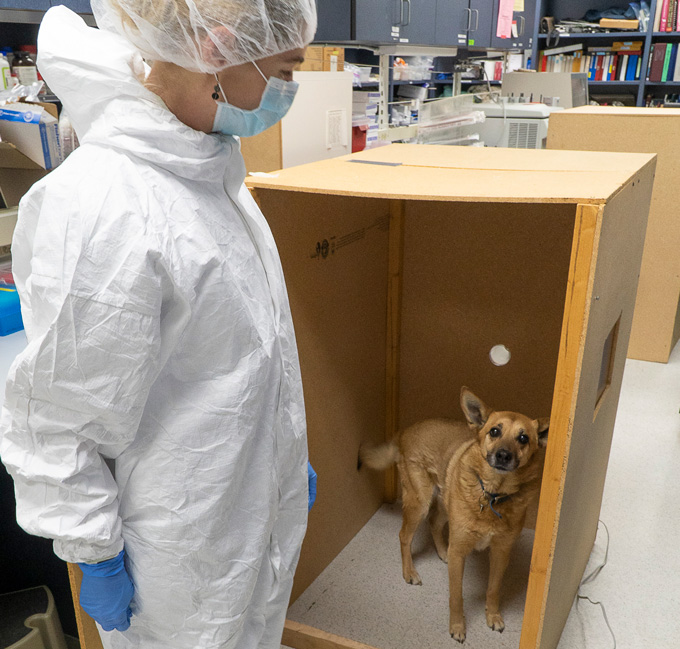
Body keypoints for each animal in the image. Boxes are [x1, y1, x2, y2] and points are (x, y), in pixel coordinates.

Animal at [362, 388, 548, 640]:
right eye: (495, 431)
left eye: (523, 438)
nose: (503, 455)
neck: (492, 495)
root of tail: (406, 431)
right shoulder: (460, 551)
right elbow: (456, 595)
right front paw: (458, 626)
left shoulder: (500, 553)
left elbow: (493, 589)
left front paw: (493, 616)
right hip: (419, 502)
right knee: (404, 536)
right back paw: (409, 571)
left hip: (444, 503)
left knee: (434, 523)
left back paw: (443, 552)